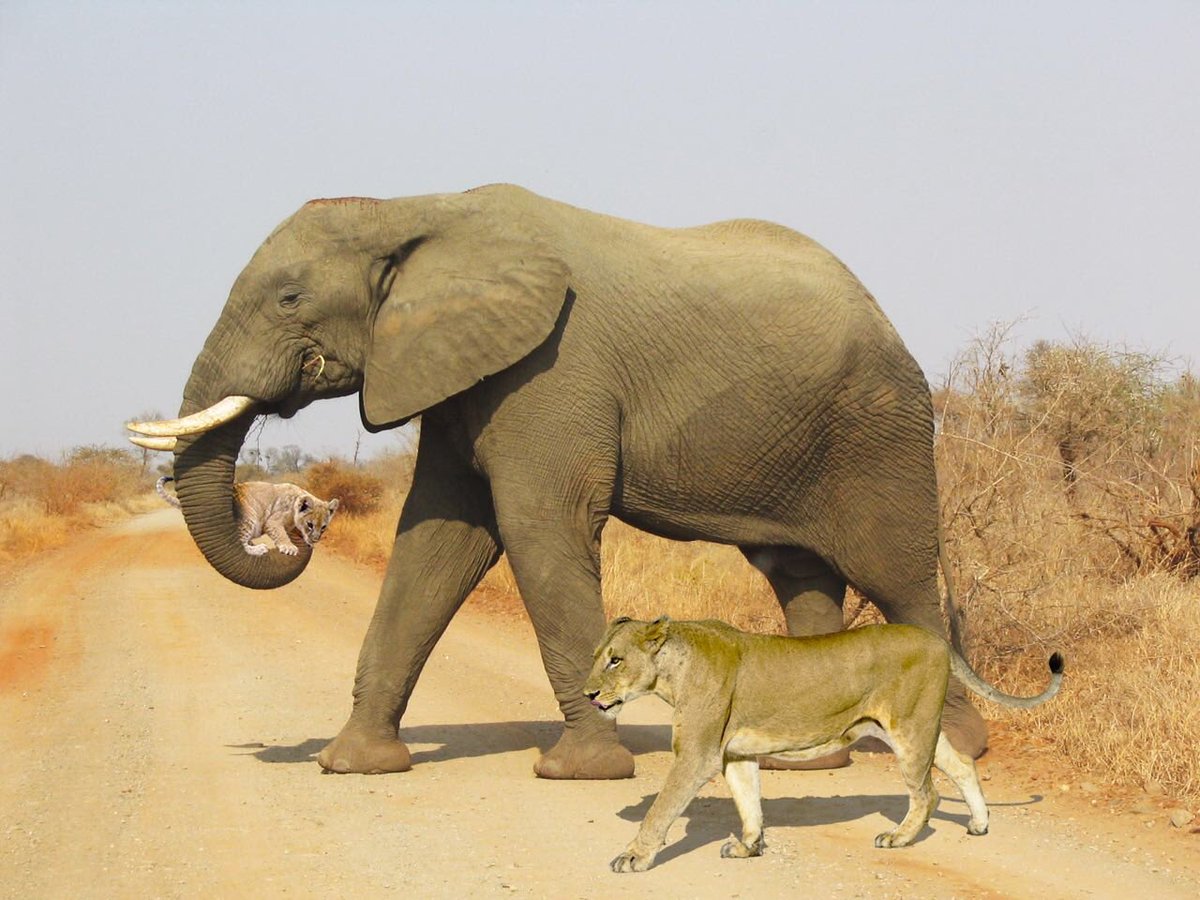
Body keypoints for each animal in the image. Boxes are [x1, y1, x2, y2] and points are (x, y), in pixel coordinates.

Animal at [129, 184, 984, 782]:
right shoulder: (459, 377)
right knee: (800, 575)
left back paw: (955, 746)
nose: (301, 528)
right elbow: (436, 541)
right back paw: (803, 761)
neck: (414, 208)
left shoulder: (551, 372)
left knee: (899, 575)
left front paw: (581, 772)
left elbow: (537, 528)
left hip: (880, 429)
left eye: (289, 298)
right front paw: (352, 765)